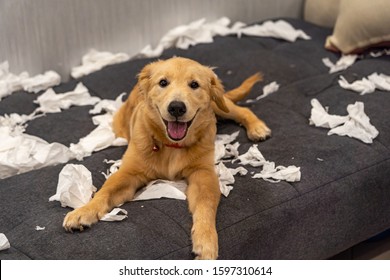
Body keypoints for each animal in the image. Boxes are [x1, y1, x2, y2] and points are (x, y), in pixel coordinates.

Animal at [64, 57, 272, 260]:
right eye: (163, 82)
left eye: (194, 84)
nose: (177, 108)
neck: (172, 146)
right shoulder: (128, 173)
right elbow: (105, 191)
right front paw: (84, 211)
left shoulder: (203, 174)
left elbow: (205, 205)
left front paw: (206, 241)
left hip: (219, 104)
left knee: (241, 110)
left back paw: (257, 127)